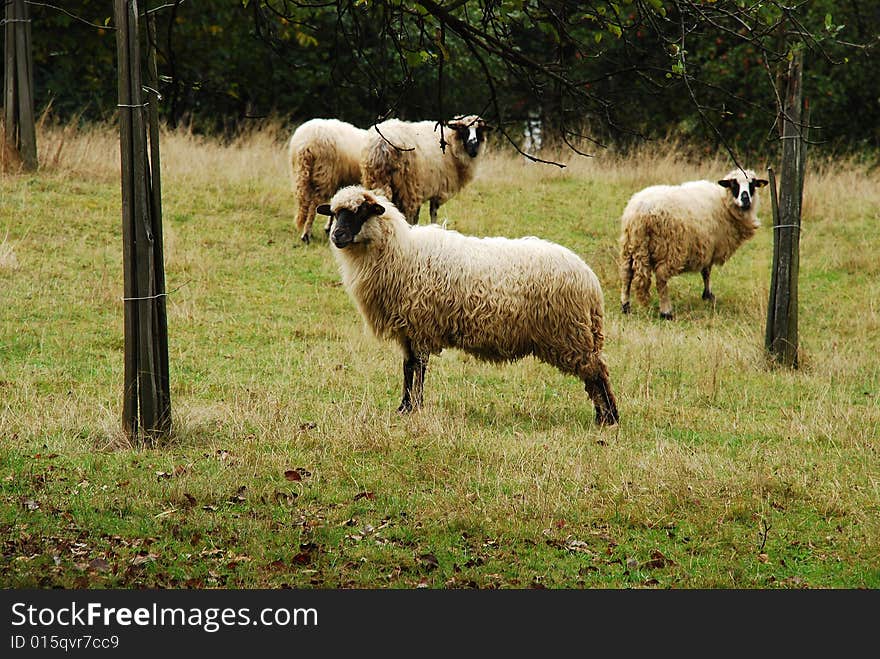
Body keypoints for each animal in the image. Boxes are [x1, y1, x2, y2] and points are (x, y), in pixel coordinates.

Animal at [316, 184, 620, 428]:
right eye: (334, 213)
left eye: (361, 212)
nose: (337, 235)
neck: (401, 253)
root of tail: (590, 279)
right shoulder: (408, 330)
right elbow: (407, 367)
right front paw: (404, 407)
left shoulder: (421, 325)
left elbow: (419, 367)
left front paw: (415, 407)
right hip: (579, 333)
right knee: (594, 374)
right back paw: (602, 416)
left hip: (571, 334)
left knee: (597, 372)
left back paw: (609, 418)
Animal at [360, 114, 492, 226]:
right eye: (463, 129)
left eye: (480, 131)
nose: (473, 150)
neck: (451, 145)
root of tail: (382, 145)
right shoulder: (435, 188)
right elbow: (432, 213)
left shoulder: (421, 188)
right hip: (407, 186)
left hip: (376, 179)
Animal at [616, 166, 768, 318]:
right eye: (734, 184)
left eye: (752, 185)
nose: (746, 200)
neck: (724, 203)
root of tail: (640, 214)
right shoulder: (710, 247)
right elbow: (706, 272)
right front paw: (708, 295)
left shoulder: (707, 246)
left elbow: (706, 272)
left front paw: (707, 295)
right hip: (669, 248)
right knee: (661, 279)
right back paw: (666, 312)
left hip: (629, 247)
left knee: (626, 275)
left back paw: (625, 306)